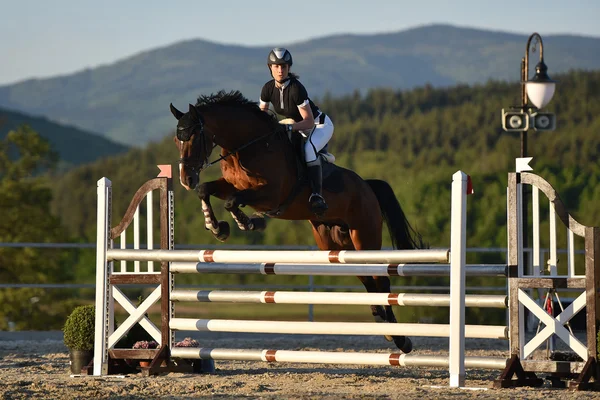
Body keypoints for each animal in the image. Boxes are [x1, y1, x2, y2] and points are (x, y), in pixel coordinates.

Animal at [169, 90, 422, 354]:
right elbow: (207, 191)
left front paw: (246, 223)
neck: (248, 147)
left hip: (364, 236)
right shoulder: (232, 185)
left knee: (380, 279)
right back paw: (383, 325)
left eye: (194, 138)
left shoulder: (270, 194)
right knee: (367, 280)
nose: (186, 179)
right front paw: (217, 227)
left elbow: (232, 202)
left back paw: (401, 339)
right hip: (336, 244)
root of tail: (367, 186)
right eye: (177, 140)